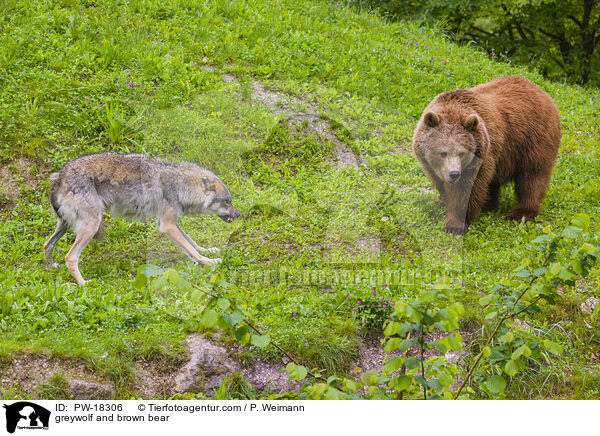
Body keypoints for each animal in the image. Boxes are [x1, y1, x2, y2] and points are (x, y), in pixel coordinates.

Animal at [43, 153, 240, 286]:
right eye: (227, 202)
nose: (238, 215)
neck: (180, 185)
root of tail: (59, 176)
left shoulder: (169, 223)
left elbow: (191, 243)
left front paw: (209, 251)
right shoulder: (167, 226)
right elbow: (192, 250)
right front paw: (209, 262)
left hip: (65, 225)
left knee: (47, 244)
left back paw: (50, 267)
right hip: (91, 226)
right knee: (70, 257)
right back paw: (84, 284)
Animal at [410, 75, 560, 235]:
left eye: (461, 153)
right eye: (443, 152)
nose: (454, 173)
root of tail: (541, 91)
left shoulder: (479, 158)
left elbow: (466, 190)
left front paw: (455, 225)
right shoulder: (430, 165)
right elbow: (440, 183)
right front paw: (442, 201)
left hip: (532, 140)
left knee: (532, 177)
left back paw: (520, 214)